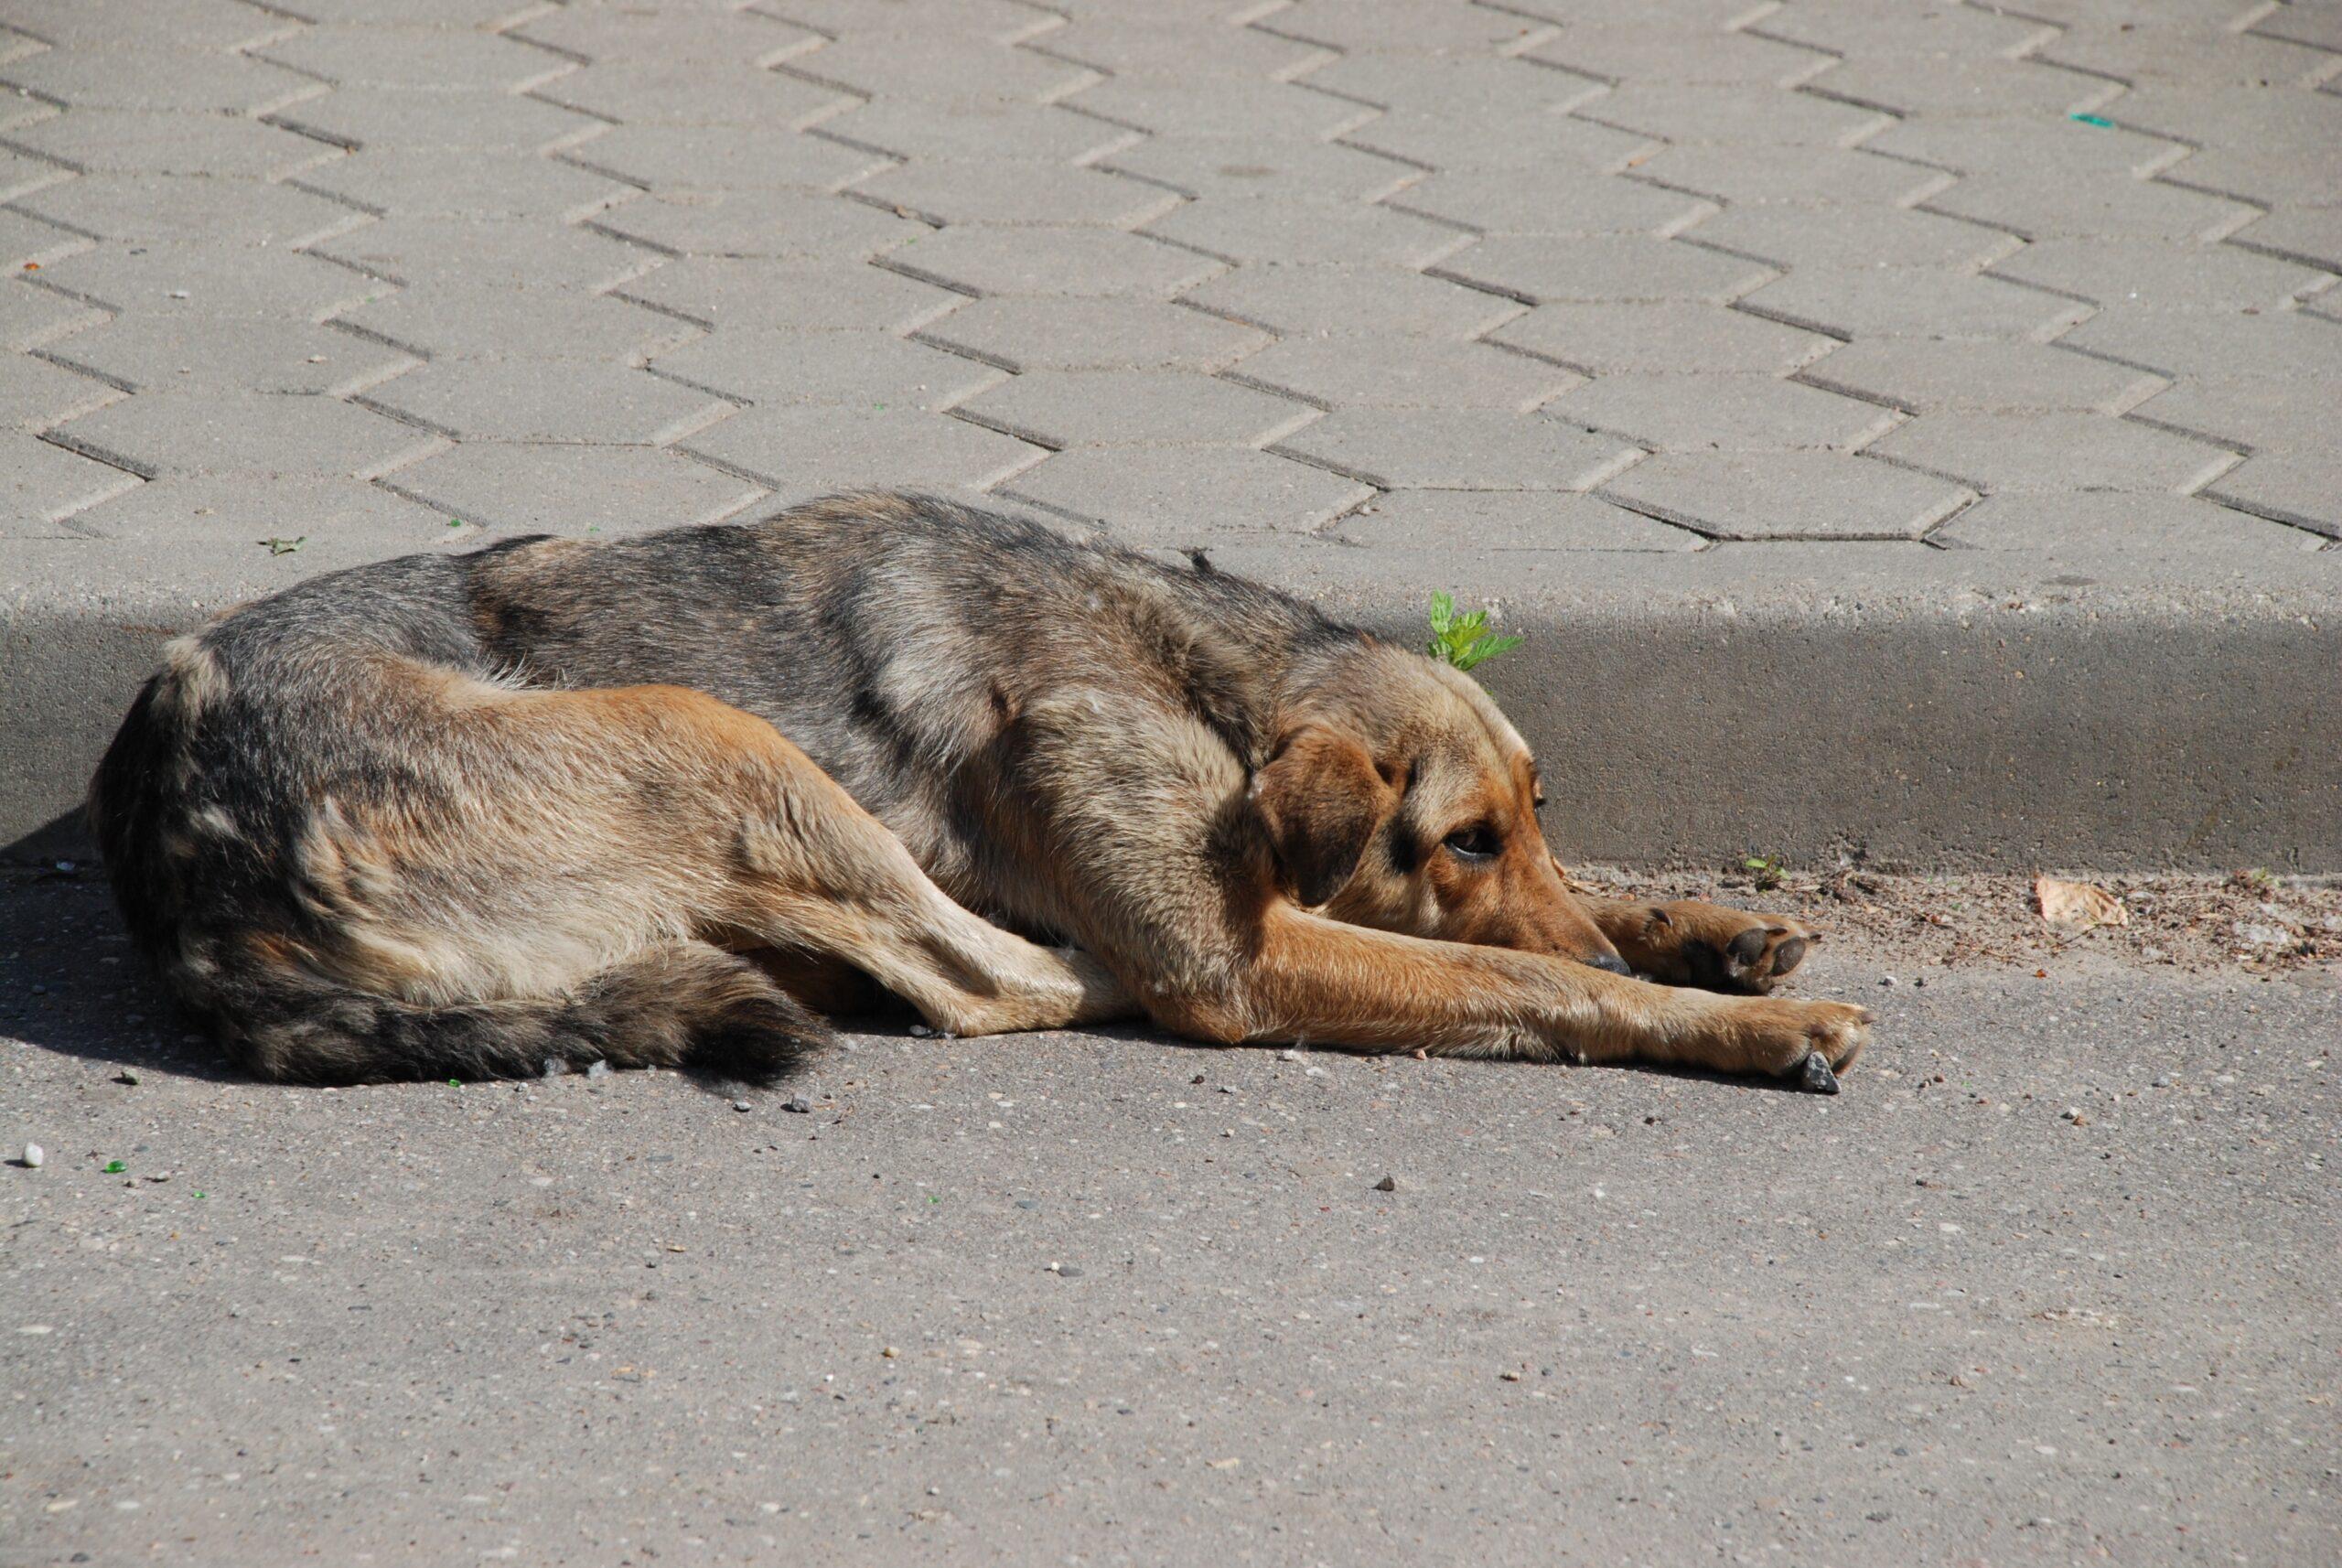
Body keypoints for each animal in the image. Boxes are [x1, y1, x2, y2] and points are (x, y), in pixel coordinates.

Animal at [91, 491, 1874, 1095]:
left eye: (1538, 812)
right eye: (1460, 839)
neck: (1198, 671)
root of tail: (188, 877)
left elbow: (1581, 928)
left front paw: (1706, 934)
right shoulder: (1233, 955)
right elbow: (1530, 978)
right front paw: (1730, 1015)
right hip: (710, 735)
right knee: (979, 978)